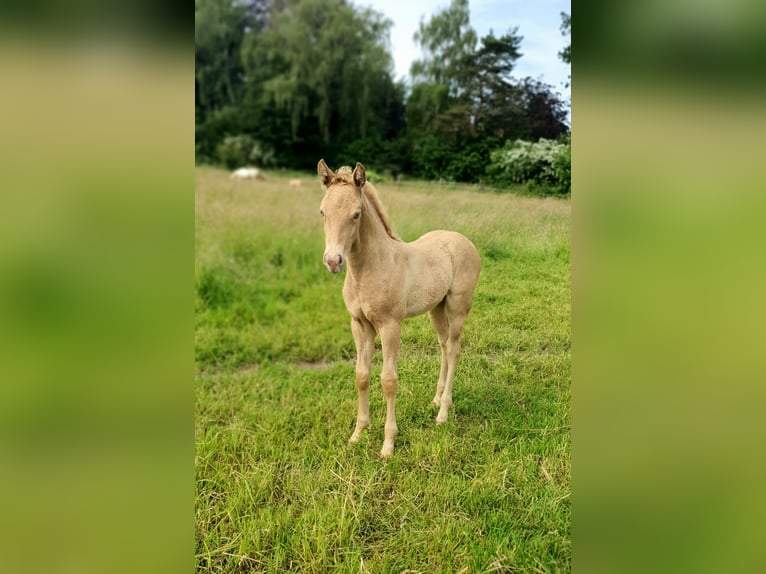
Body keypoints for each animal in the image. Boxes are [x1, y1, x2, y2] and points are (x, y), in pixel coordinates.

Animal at [317, 159, 481, 457]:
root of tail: (464, 241)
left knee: (454, 349)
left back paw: (443, 412)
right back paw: (436, 398)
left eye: (357, 214)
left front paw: (388, 444)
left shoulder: (390, 325)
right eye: (323, 211)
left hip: (457, 307)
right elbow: (362, 375)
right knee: (443, 345)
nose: (333, 261)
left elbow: (388, 380)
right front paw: (358, 433)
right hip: (436, 308)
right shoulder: (359, 325)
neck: (371, 267)